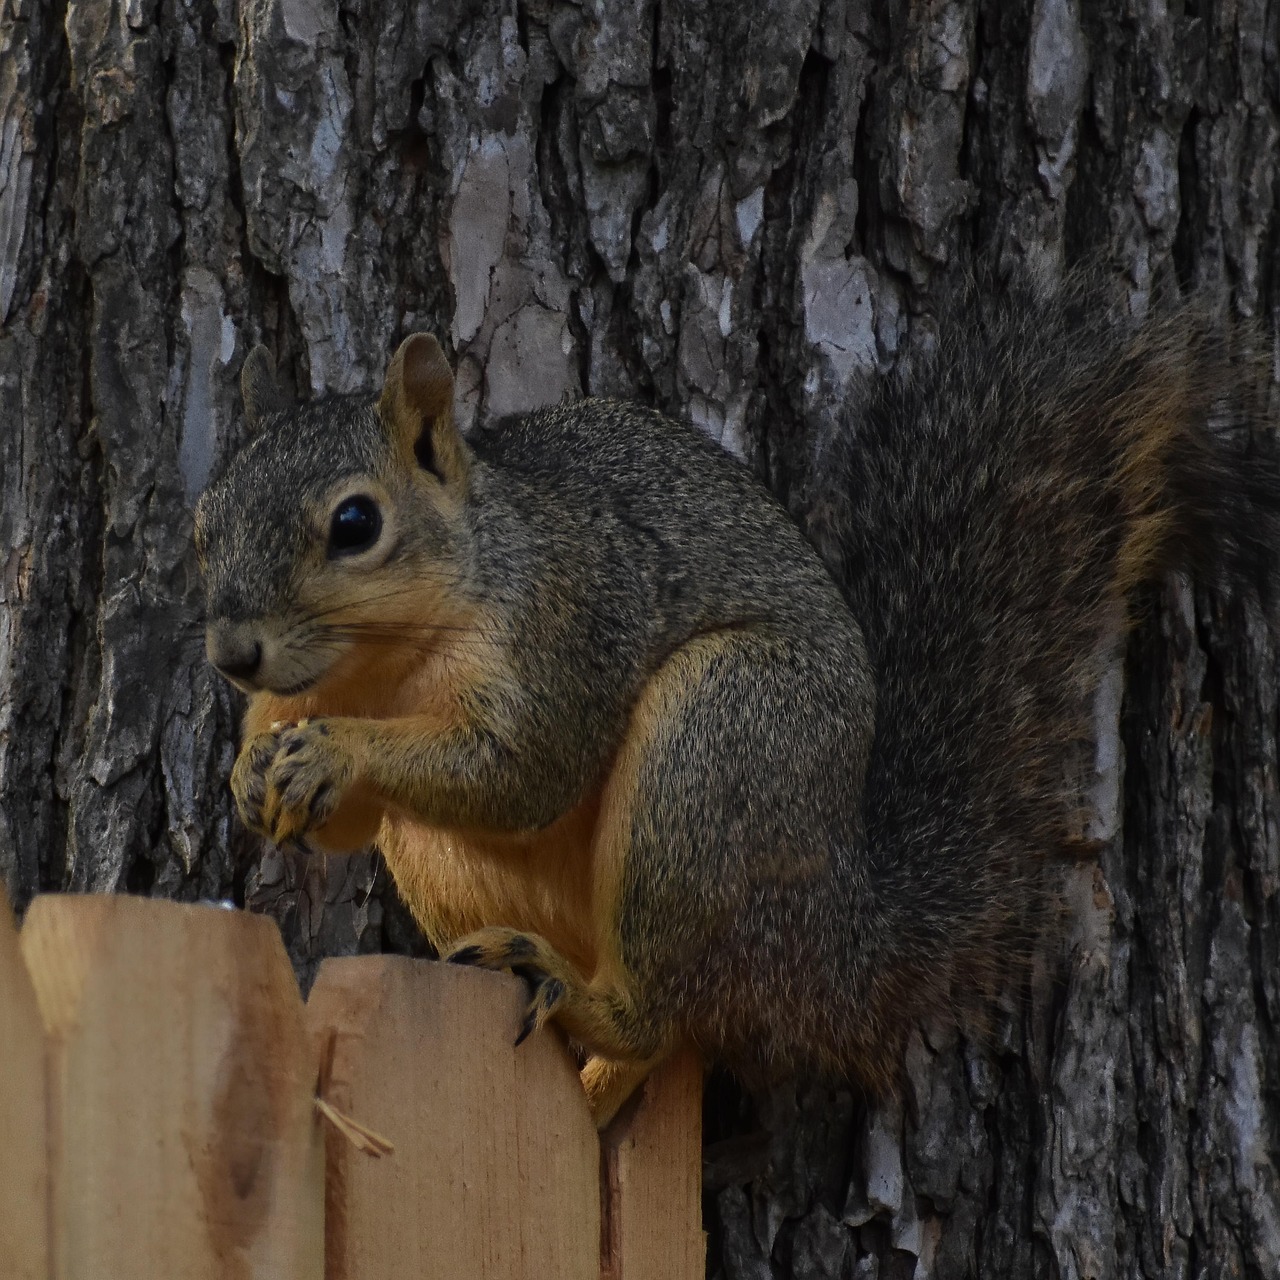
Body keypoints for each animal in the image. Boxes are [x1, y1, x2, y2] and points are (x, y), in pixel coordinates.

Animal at [195, 270, 1280, 1128]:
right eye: (205, 519)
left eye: (354, 523)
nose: (233, 654)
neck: (382, 666)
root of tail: (843, 943)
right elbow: (344, 816)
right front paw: (253, 774)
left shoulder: (567, 626)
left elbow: (523, 770)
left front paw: (335, 751)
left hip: (716, 753)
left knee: (661, 1011)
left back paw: (575, 998)